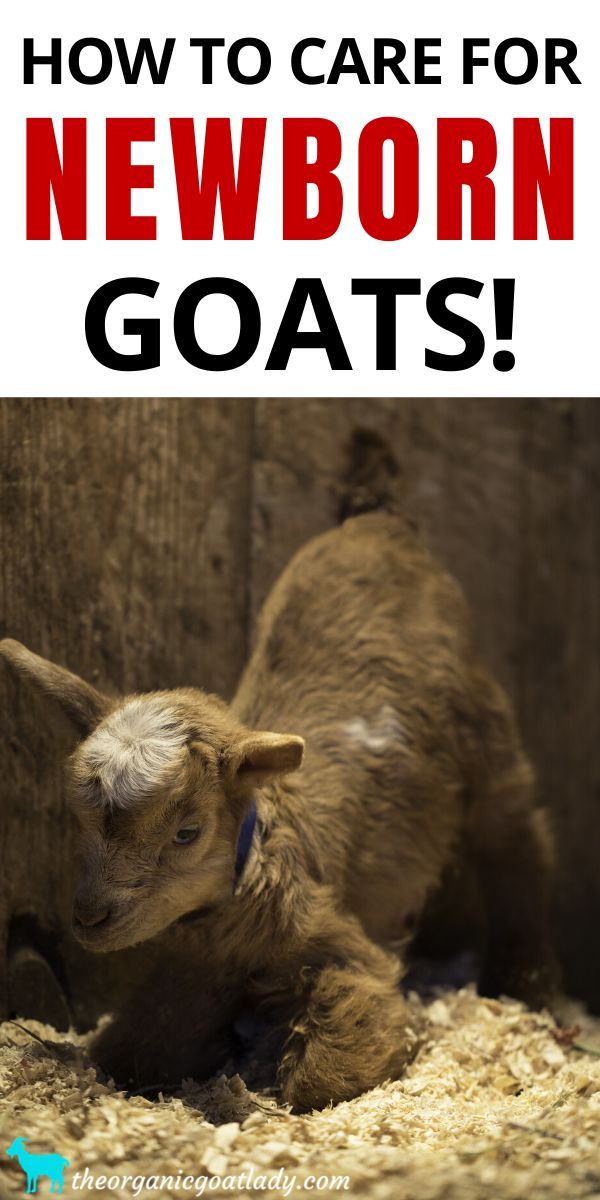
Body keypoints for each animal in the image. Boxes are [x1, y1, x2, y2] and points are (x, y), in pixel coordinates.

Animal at [0, 511, 556, 1108]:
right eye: (79, 821)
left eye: (187, 833)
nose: (89, 918)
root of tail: (378, 525)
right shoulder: (196, 964)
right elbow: (135, 1049)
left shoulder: (338, 942)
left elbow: (328, 1066)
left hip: (485, 724)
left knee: (517, 842)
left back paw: (525, 983)